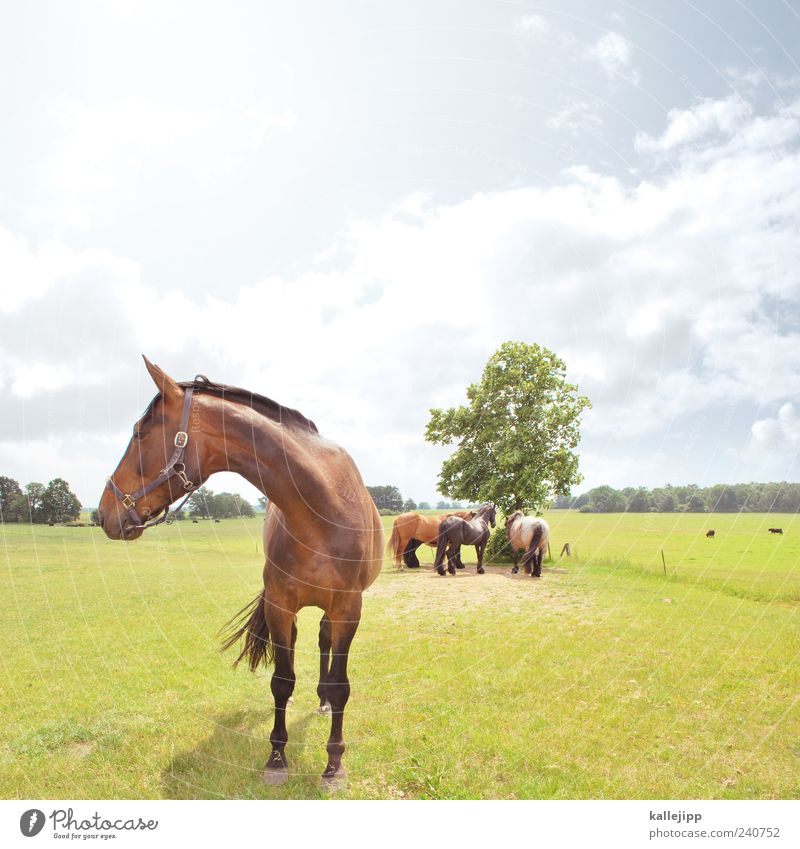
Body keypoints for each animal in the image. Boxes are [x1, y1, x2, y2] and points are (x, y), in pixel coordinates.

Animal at [97, 358, 384, 788]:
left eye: (140, 433)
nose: (103, 512)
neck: (321, 509)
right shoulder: (280, 606)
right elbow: (282, 679)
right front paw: (277, 758)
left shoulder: (349, 608)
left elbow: (340, 684)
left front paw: (334, 764)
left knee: (324, 643)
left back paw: (322, 703)